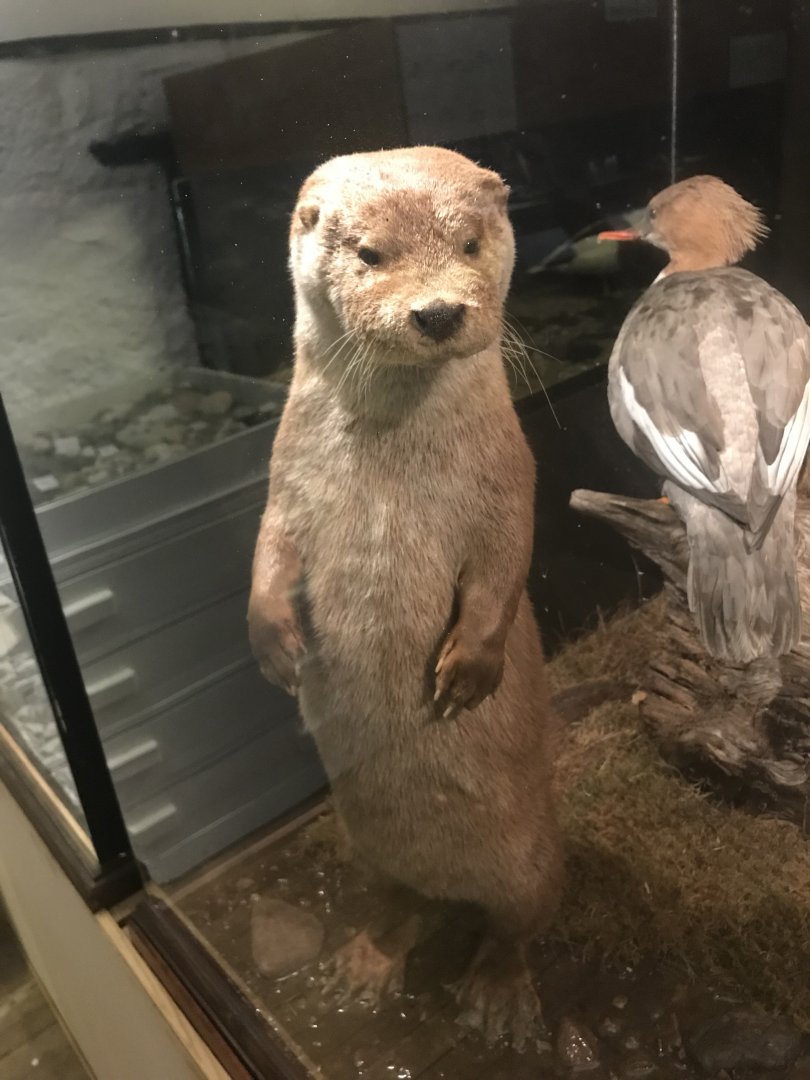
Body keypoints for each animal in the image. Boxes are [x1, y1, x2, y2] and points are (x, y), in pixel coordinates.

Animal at [248, 146, 562, 1048]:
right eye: (369, 254)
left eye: (469, 243)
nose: (438, 312)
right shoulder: (285, 484)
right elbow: (268, 553)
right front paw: (275, 644)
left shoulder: (512, 480)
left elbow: (503, 568)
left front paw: (467, 673)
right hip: (365, 847)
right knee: (397, 905)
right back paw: (368, 961)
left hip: (535, 859)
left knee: (517, 924)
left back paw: (496, 995)